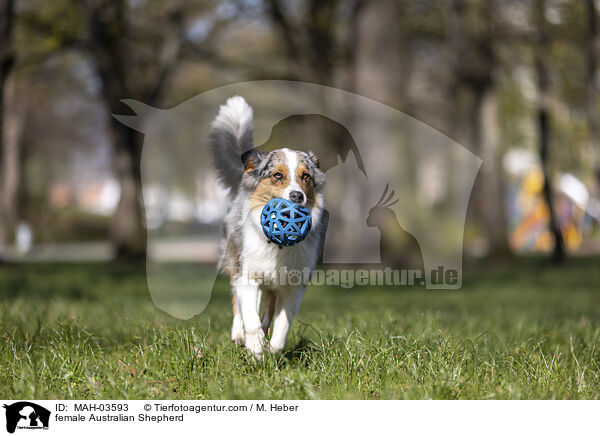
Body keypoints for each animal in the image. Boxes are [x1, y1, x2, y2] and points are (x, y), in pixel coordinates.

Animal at [209, 97, 326, 360]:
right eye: (277, 175)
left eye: (305, 176)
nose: (297, 196)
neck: (278, 247)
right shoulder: (248, 275)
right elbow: (249, 316)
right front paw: (255, 348)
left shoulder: (294, 285)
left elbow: (282, 324)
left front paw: (272, 350)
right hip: (234, 259)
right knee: (239, 305)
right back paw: (240, 335)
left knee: (268, 309)